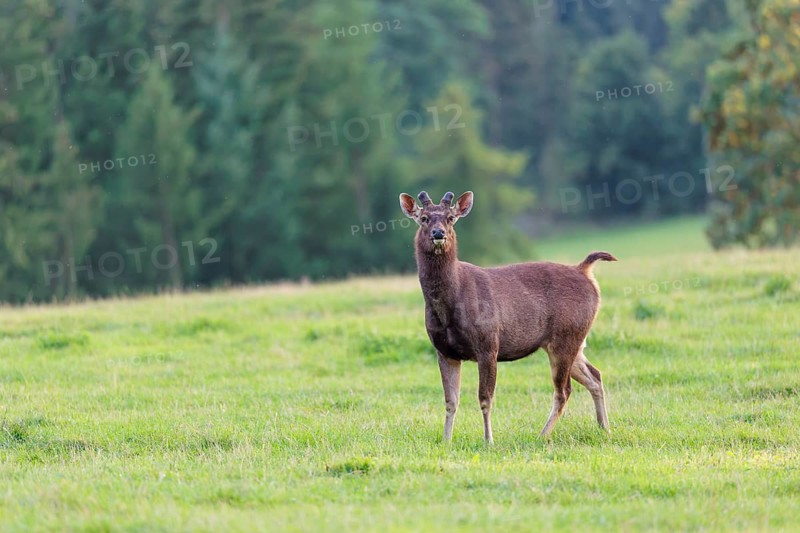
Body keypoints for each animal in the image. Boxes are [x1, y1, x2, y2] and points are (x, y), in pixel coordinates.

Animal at [399, 190, 616, 443]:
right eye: (423, 218)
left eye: (450, 218)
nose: (438, 233)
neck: (449, 307)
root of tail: (584, 271)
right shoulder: (444, 351)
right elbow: (451, 401)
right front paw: (446, 440)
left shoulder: (488, 344)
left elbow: (485, 398)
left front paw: (488, 440)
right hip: (571, 341)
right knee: (595, 376)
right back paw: (604, 427)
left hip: (566, 336)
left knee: (564, 390)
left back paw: (542, 435)